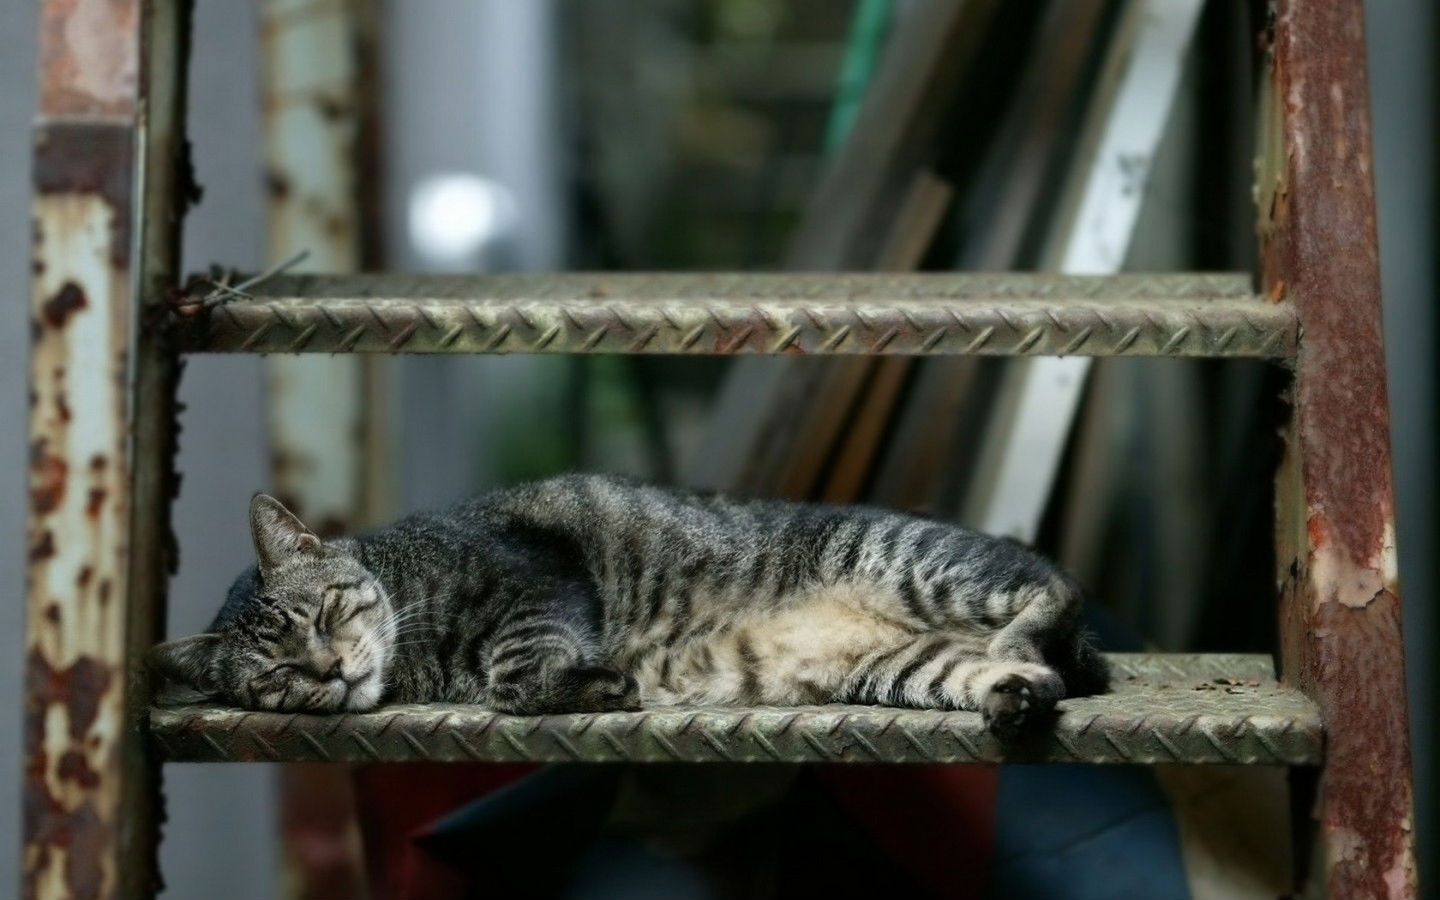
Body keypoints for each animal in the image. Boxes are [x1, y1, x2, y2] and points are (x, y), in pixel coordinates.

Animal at [149, 469, 1111, 731]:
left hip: (920, 561)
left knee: (1055, 589)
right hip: (902, 665)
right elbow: (515, 677)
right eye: (277, 675)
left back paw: (1023, 644)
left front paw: (592, 684)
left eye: (322, 617)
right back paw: (1014, 691)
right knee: (1016, 672)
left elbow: (517, 666)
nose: (328, 670)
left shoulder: (533, 579)